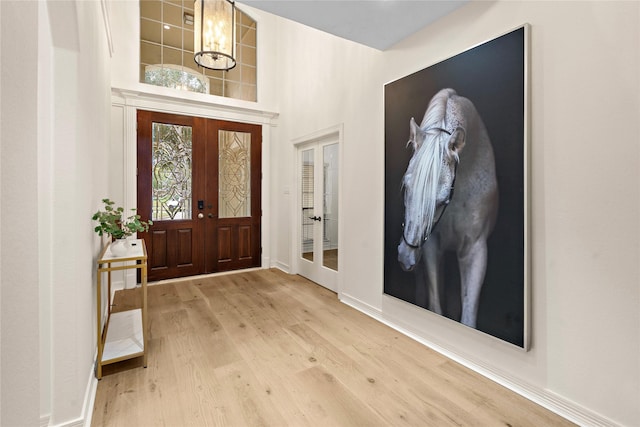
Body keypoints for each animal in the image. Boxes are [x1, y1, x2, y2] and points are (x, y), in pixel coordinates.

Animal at [398, 88, 498, 328]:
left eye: (442, 201)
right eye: (406, 186)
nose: (405, 256)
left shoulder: (475, 250)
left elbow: (468, 318)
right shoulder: (432, 245)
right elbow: (435, 306)